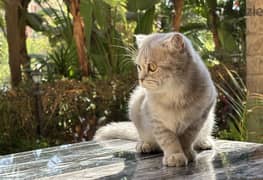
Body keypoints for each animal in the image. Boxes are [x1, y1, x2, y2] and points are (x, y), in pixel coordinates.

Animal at [94, 32, 218, 167]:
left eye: (152, 67)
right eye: (139, 67)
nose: (141, 79)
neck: (175, 95)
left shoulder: (198, 118)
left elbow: (187, 138)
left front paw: (187, 153)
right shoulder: (157, 121)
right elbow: (168, 139)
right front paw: (175, 155)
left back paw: (204, 142)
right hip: (135, 104)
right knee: (143, 137)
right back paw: (145, 144)